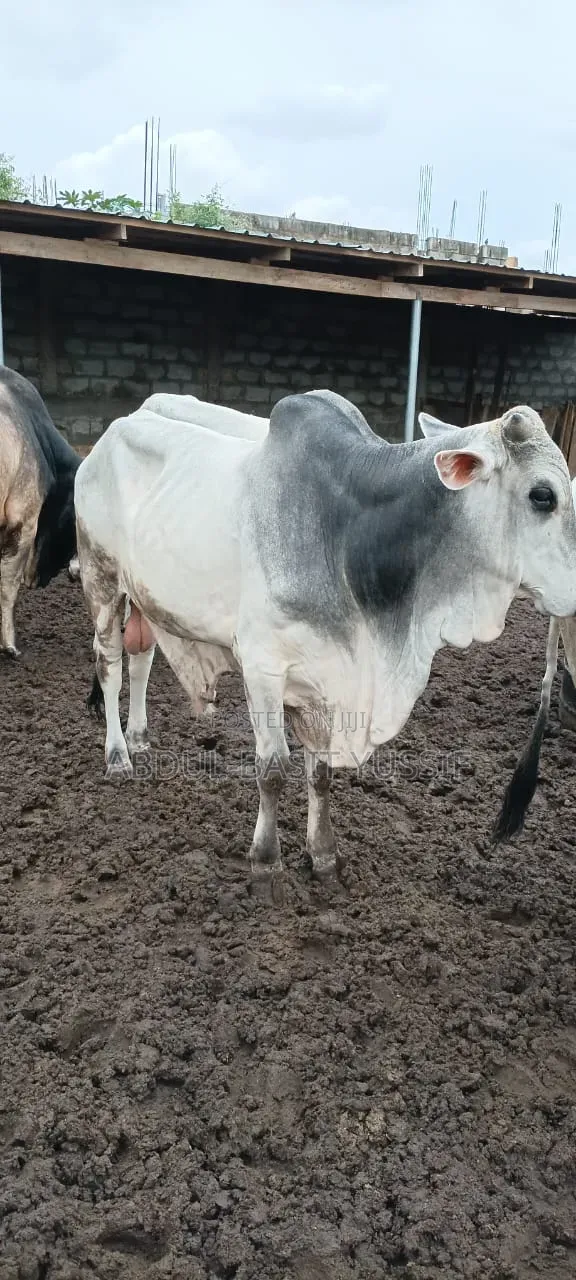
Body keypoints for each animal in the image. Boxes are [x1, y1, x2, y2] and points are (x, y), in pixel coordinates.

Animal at [75, 392, 576, 880]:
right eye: (543, 495)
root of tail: (105, 439)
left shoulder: (327, 677)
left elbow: (319, 773)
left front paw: (324, 856)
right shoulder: (261, 666)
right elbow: (273, 768)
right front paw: (266, 861)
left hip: (143, 596)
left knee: (142, 658)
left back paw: (139, 736)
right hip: (102, 581)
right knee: (110, 665)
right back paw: (117, 754)